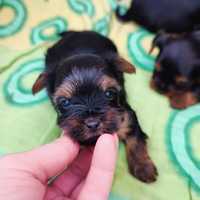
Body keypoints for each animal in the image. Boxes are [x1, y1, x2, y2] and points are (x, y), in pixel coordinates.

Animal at [32, 30, 158, 183]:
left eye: (109, 93)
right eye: (65, 102)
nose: (92, 124)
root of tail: (77, 33)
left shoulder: (126, 116)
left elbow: (136, 139)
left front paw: (144, 167)